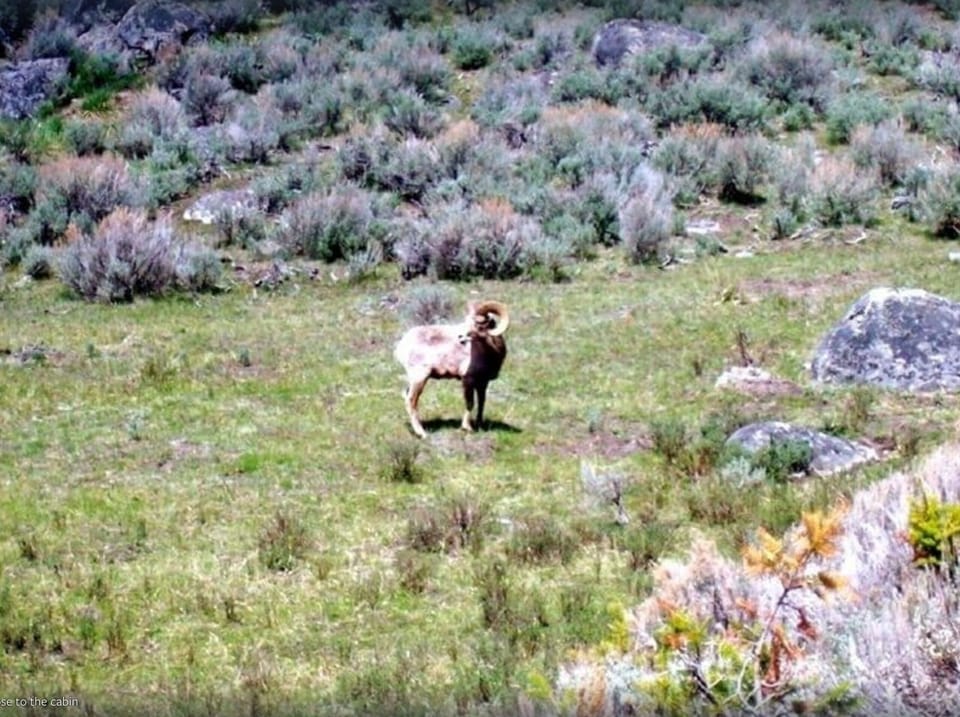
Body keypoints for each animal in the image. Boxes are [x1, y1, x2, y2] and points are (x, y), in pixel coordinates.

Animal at [394, 300, 510, 438]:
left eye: (479, 323)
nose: (460, 337)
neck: (491, 351)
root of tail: (402, 345)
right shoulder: (468, 380)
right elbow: (470, 403)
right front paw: (467, 428)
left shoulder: (483, 383)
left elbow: (482, 402)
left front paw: (479, 425)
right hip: (420, 378)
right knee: (411, 400)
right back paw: (422, 433)